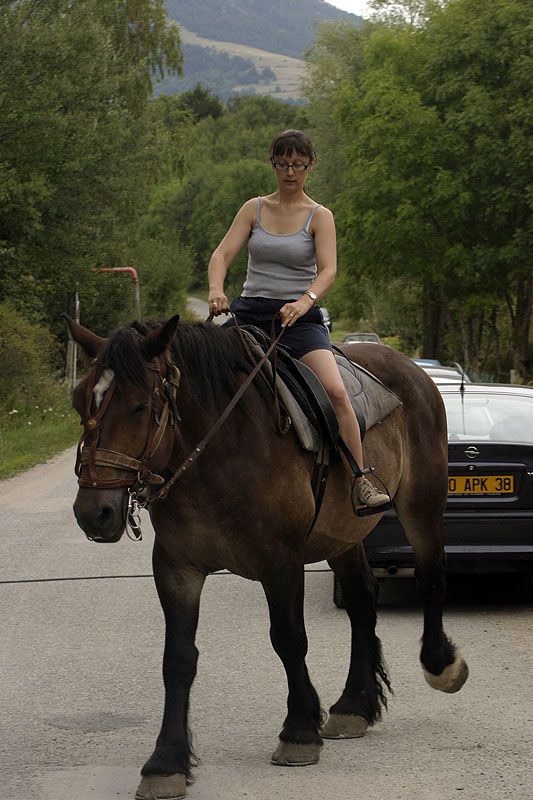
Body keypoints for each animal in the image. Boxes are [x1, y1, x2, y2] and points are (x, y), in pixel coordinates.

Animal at [64, 313, 468, 800]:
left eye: (140, 406)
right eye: (79, 402)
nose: (95, 513)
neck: (217, 453)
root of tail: (413, 370)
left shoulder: (281, 564)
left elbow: (289, 639)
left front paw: (299, 731)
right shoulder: (177, 568)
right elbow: (177, 659)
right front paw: (166, 762)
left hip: (421, 503)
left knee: (430, 575)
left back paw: (441, 665)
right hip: (342, 535)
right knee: (361, 599)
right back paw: (354, 705)